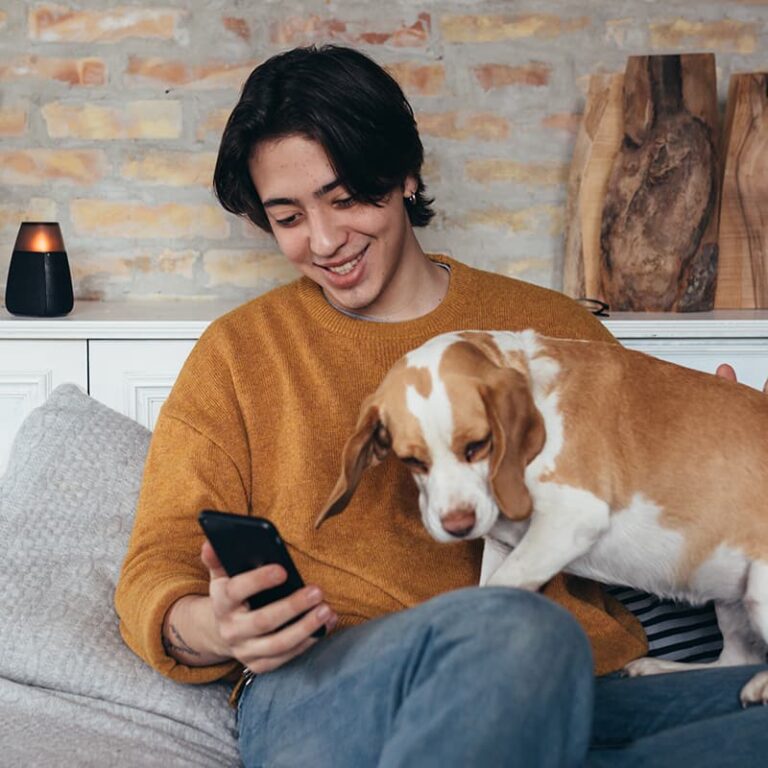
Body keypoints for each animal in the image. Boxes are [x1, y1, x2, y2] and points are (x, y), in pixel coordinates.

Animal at [316, 330, 768, 708]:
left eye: (477, 446)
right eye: (412, 461)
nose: (458, 525)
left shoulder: (571, 519)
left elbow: (500, 586)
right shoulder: (504, 546)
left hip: (758, 589)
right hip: (733, 599)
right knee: (736, 659)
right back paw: (659, 668)